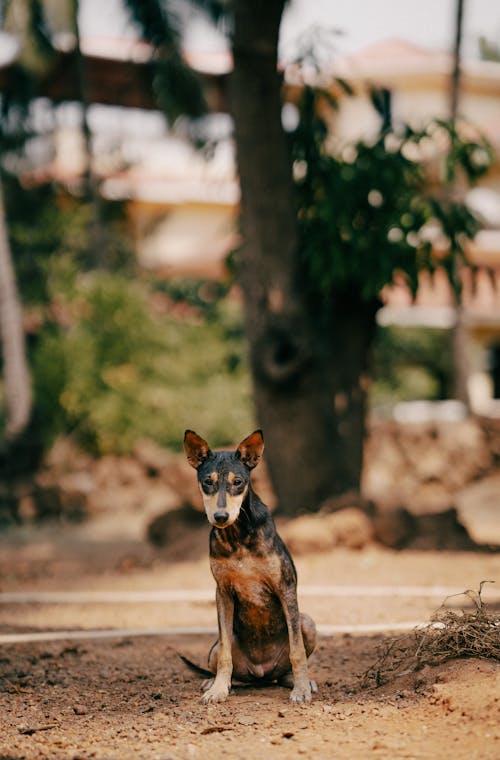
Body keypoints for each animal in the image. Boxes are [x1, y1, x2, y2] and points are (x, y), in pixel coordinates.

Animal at [183, 430, 316, 704]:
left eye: (238, 482)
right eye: (207, 482)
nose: (220, 517)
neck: (238, 535)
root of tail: (262, 674)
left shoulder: (285, 587)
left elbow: (297, 650)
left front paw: (301, 690)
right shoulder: (222, 592)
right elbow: (225, 653)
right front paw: (218, 690)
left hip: (308, 623)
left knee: (288, 665)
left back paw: (299, 681)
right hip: (217, 647)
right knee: (225, 660)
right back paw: (215, 681)